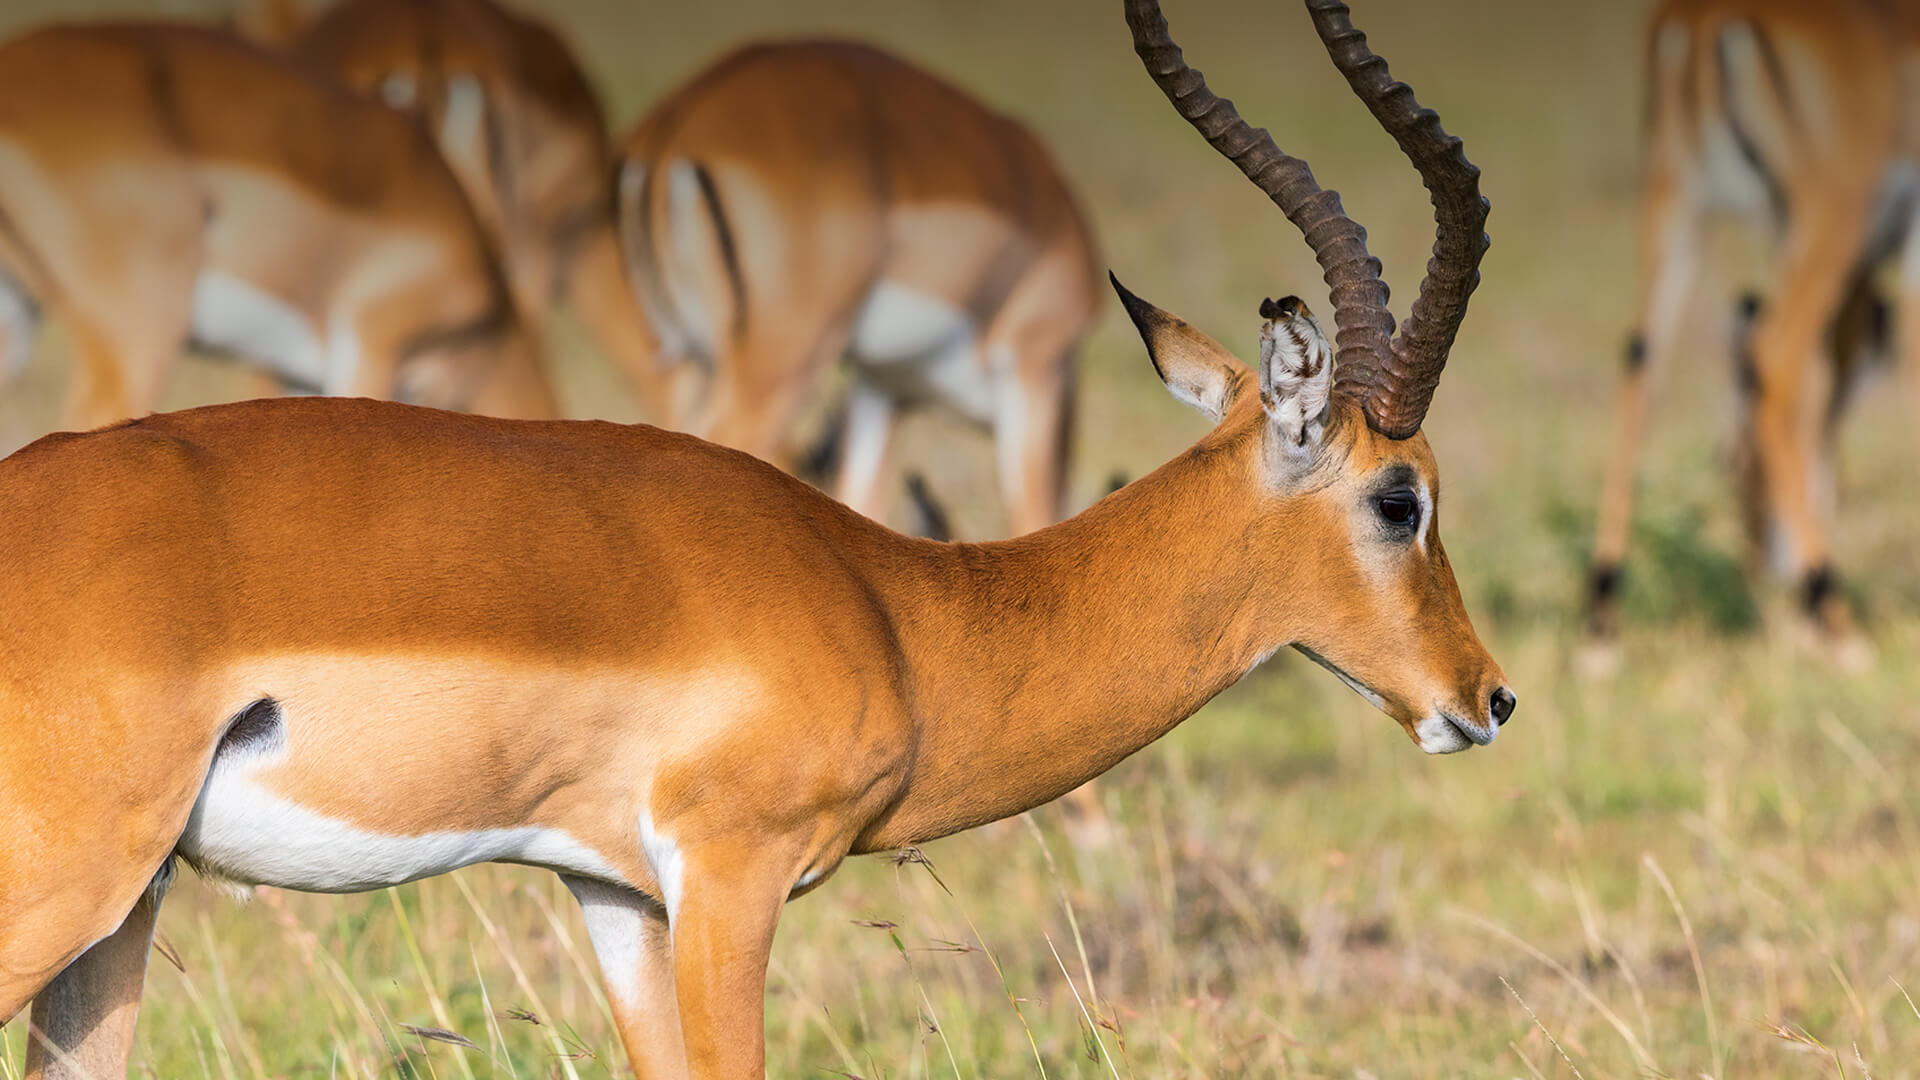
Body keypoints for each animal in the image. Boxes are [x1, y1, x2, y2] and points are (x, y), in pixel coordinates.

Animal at [614, 37, 1098, 534]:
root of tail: (682, 115)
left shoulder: (878, 385)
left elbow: (864, 501)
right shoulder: (1035, 372)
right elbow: (1032, 516)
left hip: (693, 363)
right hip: (781, 367)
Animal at [1589, 0, 1920, 653]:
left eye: (1729, 457)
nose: (1759, 562)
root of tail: (1706, 15)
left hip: (1677, 205)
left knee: (1643, 361)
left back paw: (1603, 622)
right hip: (1828, 216)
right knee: (1777, 356)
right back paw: (1830, 607)